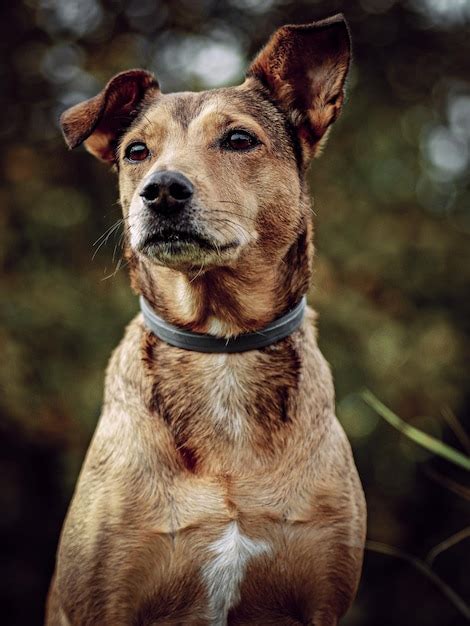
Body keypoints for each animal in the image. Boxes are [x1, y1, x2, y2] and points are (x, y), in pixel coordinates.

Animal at [45, 14, 368, 624]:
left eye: (239, 139)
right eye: (136, 151)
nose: (161, 190)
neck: (221, 349)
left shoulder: (322, 596)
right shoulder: (103, 598)